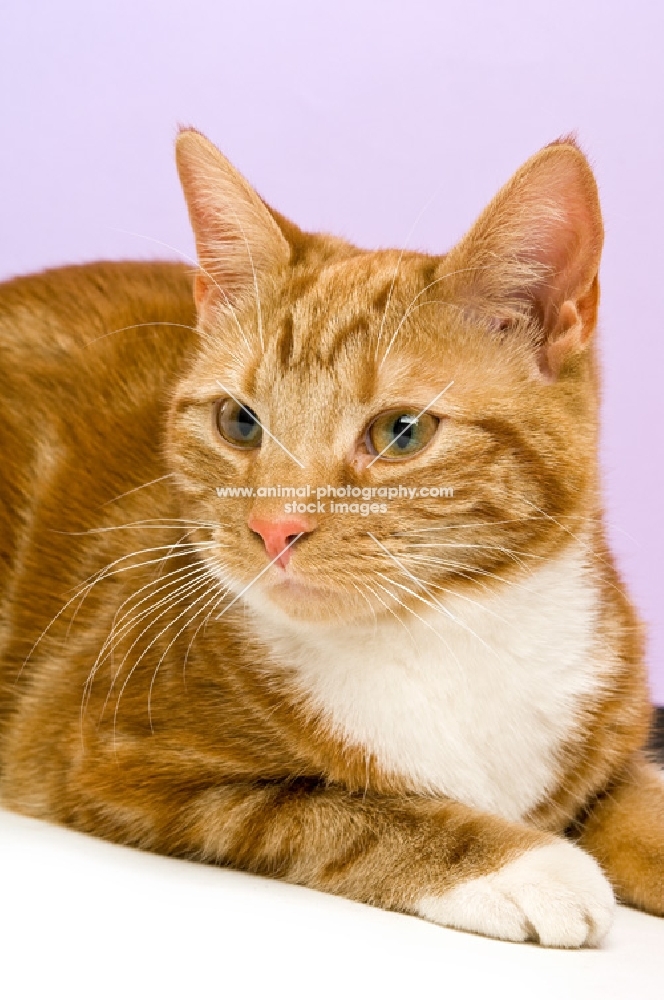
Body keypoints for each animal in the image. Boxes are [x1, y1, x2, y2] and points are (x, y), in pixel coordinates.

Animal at [0, 131, 660, 944]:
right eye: (239, 422)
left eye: (402, 433)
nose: (273, 526)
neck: (449, 631)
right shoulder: (113, 759)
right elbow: (342, 810)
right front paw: (523, 864)